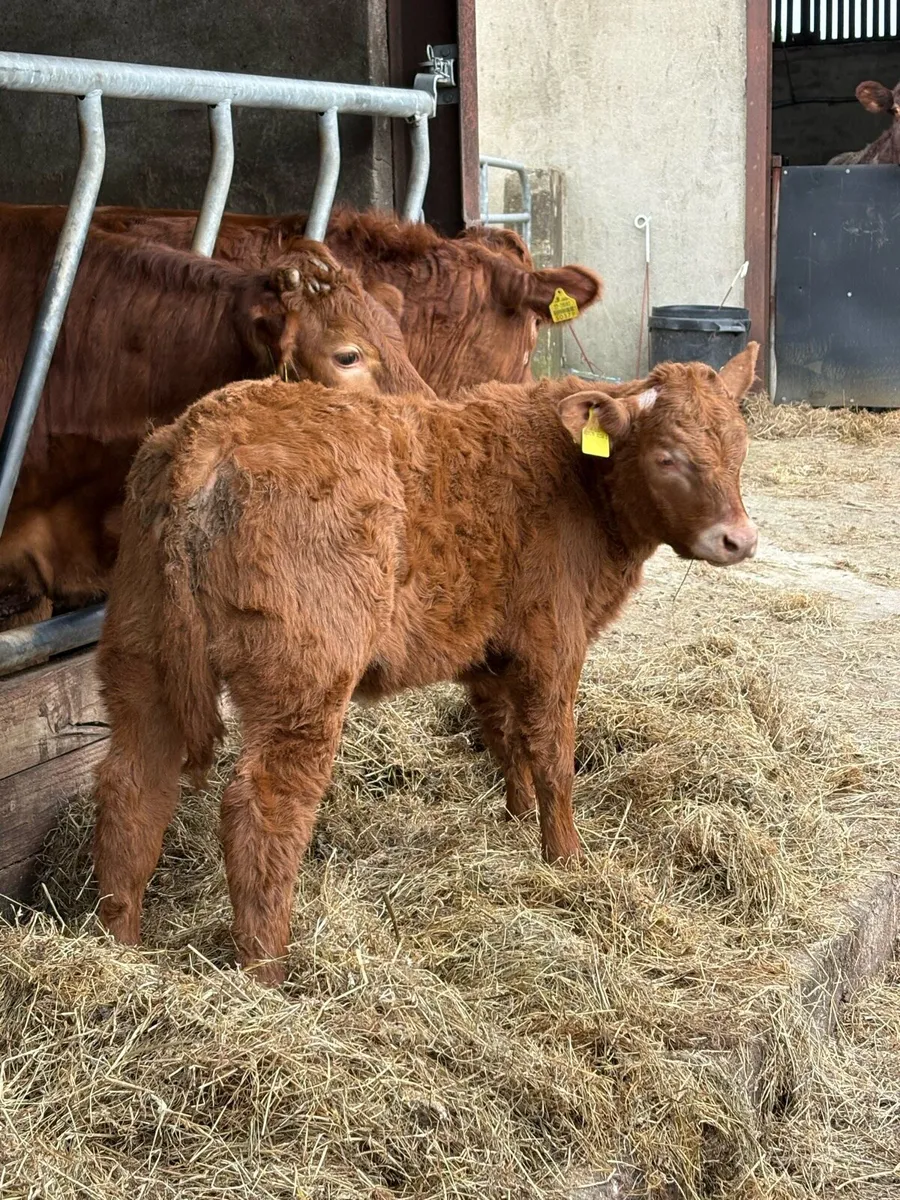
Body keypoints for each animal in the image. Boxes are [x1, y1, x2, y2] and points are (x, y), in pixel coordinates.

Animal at [92, 343, 760, 985]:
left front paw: (517, 819)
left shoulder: (491, 654)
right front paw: (566, 857)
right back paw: (266, 973)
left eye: (740, 447)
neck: (573, 476)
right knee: (262, 807)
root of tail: (210, 429)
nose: (740, 540)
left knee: (132, 788)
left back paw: (118, 950)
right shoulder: (553, 642)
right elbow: (554, 755)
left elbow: (505, 738)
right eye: (668, 456)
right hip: (302, 683)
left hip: (139, 658)